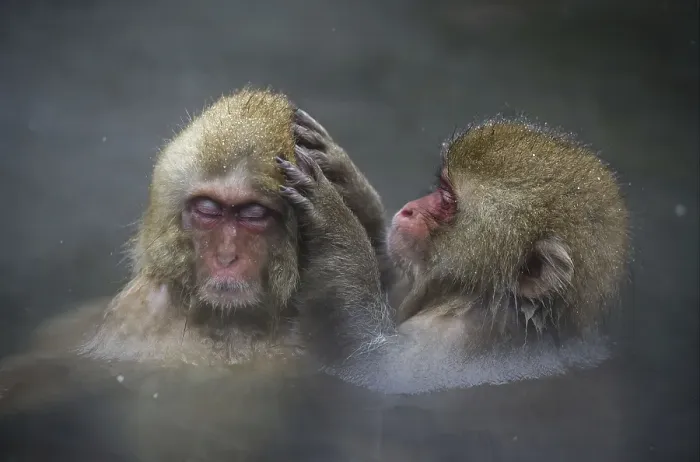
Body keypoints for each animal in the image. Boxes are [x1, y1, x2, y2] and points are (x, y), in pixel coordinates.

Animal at [278, 117, 629, 394]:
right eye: (442, 186)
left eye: (447, 199)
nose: (409, 209)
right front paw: (344, 176)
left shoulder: (458, 343)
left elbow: (378, 370)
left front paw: (330, 214)